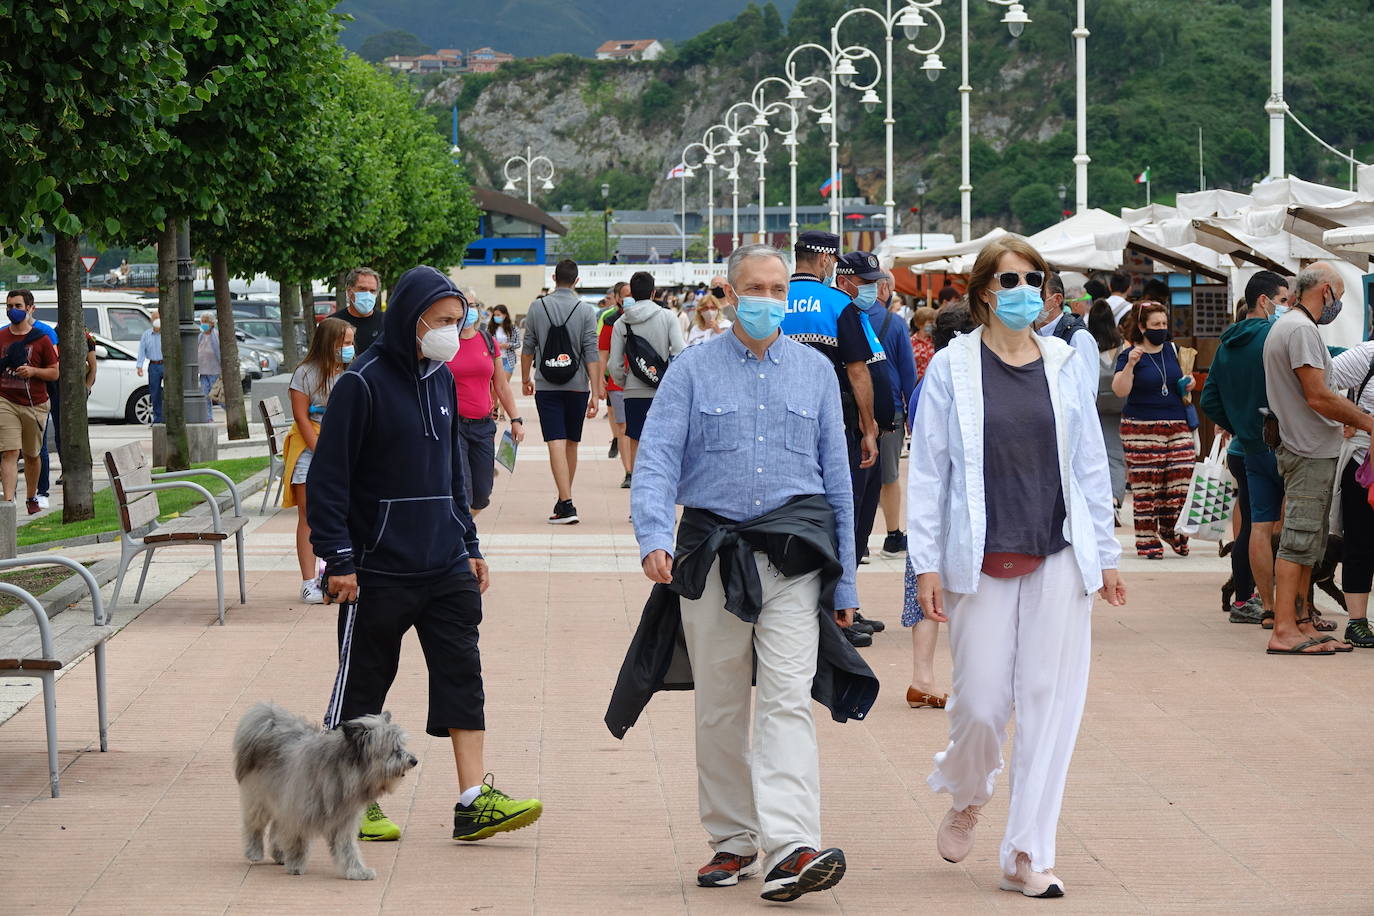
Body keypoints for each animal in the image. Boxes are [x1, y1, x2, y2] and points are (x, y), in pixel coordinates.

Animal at [233, 703, 414, 878]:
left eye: (402, 745)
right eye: (394, 749)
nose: (414, 760)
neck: (343, 772)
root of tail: (269, 721)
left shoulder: (343, 821)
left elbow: (347, 848)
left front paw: (356, 870)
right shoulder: (298, 812)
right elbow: (297, 840)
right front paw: (296, 865)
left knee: (276, 828)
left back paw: (279, 854)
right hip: (260, 797)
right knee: (254, 825)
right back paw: (254, 851)